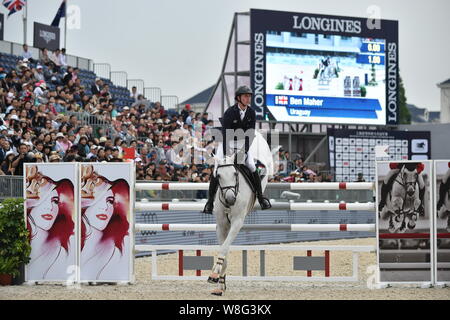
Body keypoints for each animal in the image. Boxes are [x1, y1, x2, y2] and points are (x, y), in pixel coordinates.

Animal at [207, 132, 272, 296]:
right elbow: (224, 248)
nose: (230, 199)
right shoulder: (221, 225)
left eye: (235, 173)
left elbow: (224, 247)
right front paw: (220, 283)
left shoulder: (237, 222)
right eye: (218, 176)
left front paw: (214, 273)